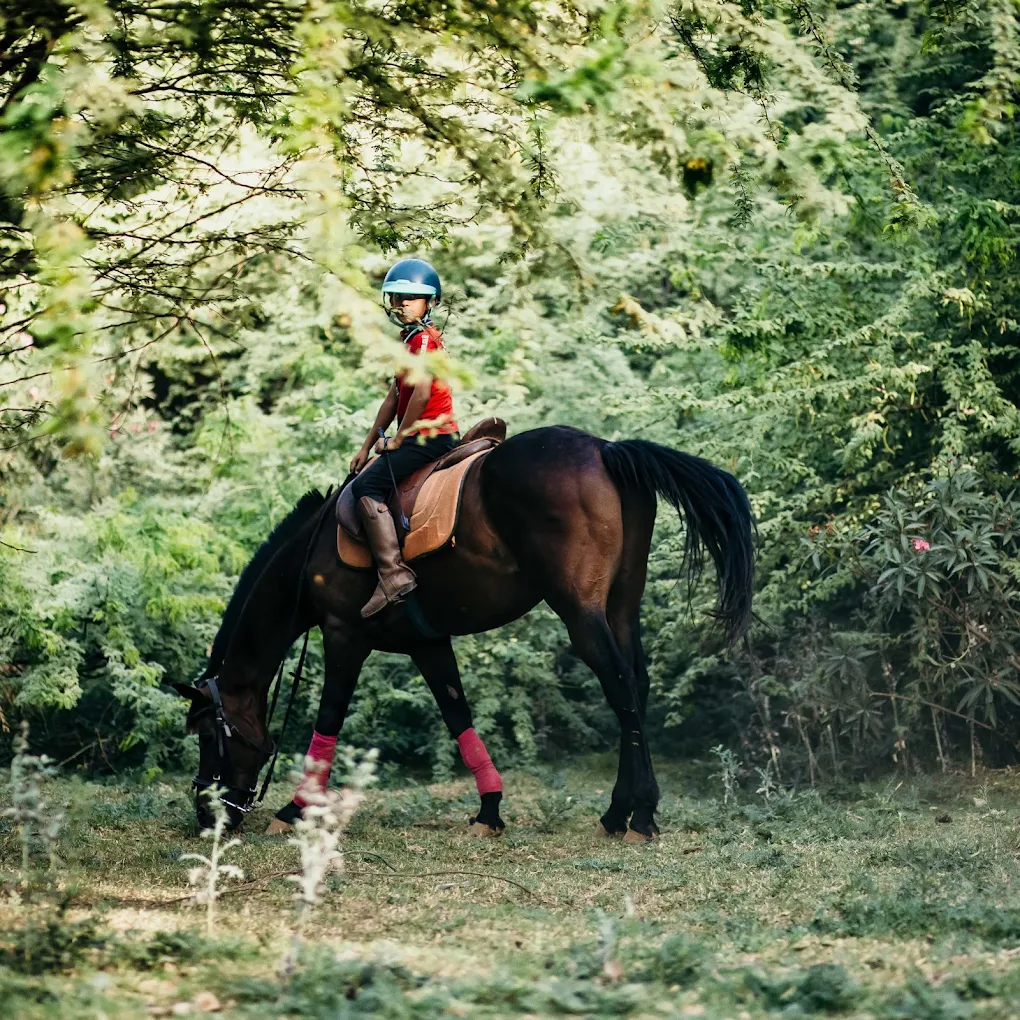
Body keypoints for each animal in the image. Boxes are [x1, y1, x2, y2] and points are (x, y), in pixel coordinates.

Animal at [172, 425, 755, 840]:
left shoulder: (344, 637)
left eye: (208, 736)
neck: (308, 557)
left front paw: (295, 809)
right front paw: (490, 808)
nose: (206, 815)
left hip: (581, 611)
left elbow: (328, 721)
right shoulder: (428, 643)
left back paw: (638, 815)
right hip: (621, 606)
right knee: (637, 681)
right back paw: (621, 810)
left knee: (621, 686)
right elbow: (458, 716)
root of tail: (605, 448)